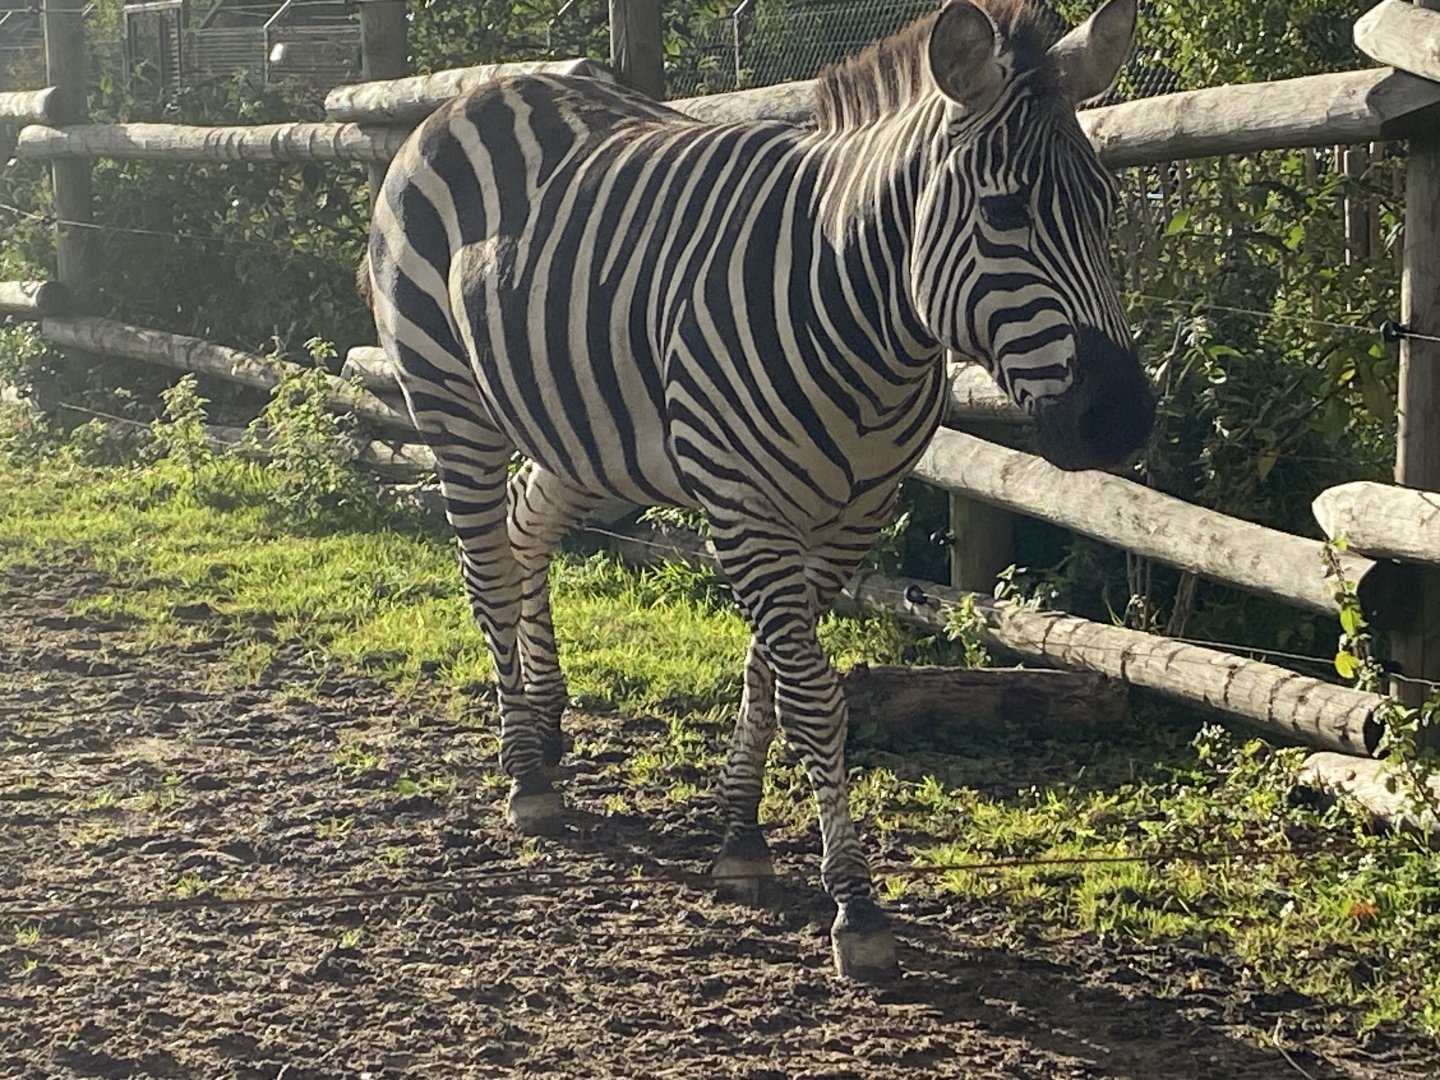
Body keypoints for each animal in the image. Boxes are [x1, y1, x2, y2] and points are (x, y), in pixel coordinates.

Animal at [364, 0, 1153, 981]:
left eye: (1107, 208)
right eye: (1003, 212)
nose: (1121, 421)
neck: (865, 323)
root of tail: (475, 94)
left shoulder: (848, 521)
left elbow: (771, 678)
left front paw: (740, 837)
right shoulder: (746, 512)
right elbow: (815, 697)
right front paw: (855, 907)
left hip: (585, 438)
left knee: (523, 531)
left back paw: (545, 726)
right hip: (451, 402)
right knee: (484, 571)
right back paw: (526, 772)